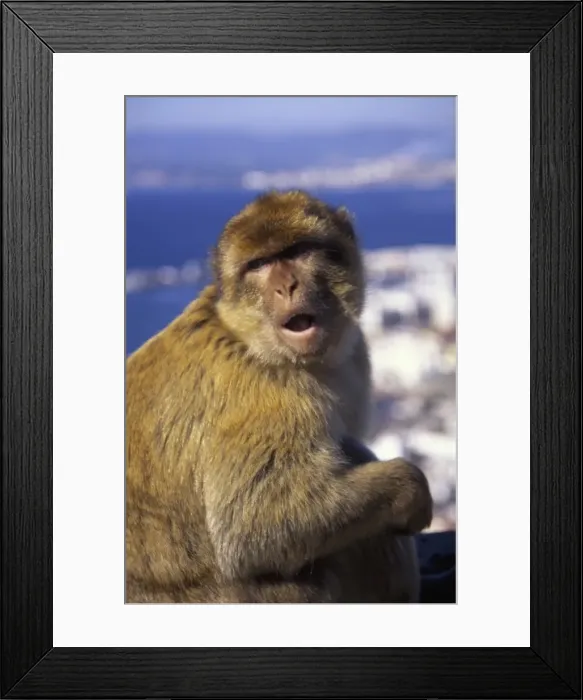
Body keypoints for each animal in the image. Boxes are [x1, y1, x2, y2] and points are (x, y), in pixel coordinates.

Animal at [125, 189, 433, 603]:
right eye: (260, 264)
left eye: (298, 251)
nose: (286, 286)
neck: (247, 338)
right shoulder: (265, 398)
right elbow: (255, 528)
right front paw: (410, 488)